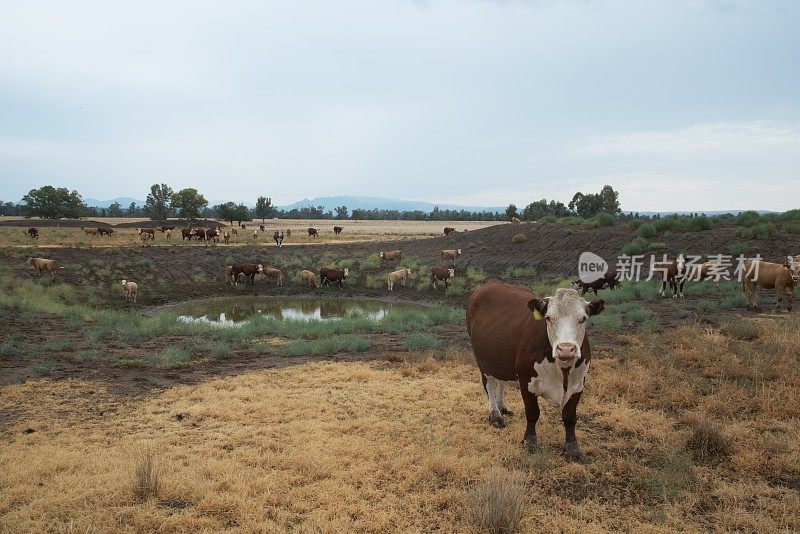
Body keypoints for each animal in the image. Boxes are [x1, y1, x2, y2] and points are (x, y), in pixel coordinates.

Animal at [466, 282, 604, 462]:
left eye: (583, 318)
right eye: (548, 318)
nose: (566, 349)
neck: (562, 369)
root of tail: (492, 283)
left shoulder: (578, 384)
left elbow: (569, 417)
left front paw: (573, 449)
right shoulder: (526, 381)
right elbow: (532, 413)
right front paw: (530, 442)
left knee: (501, 382)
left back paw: (502, 407)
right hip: (483, 361)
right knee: (489, 385)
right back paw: (495, 415)